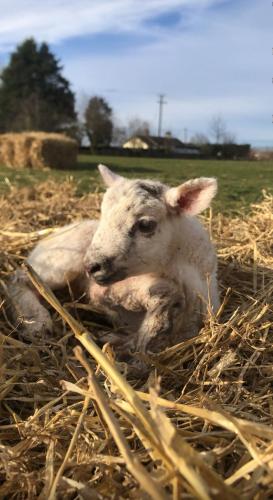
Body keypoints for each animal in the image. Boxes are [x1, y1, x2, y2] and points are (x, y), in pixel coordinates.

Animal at [7, 166, 218, 358]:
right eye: (102, 214)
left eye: (145, 224)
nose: (90, 266)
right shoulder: (122, 288)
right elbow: (163, 294)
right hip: (59, 263)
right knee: (19, 279)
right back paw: (35, 321)